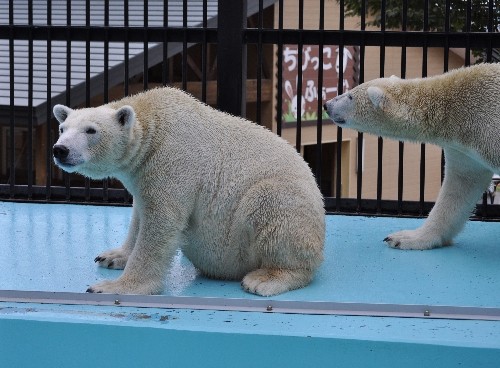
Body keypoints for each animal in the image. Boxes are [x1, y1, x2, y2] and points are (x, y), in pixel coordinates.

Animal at [50, 87, 324, 298]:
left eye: (91, 130)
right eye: (63, 128)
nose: (60, 150)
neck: (153, 122)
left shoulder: (173, 160)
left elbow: (161, 224)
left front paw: (113, 287)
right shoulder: (142, 172)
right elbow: (140, 213)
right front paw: (112, 256)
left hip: (278, 212)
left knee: (269, 206)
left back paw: (265, 279)